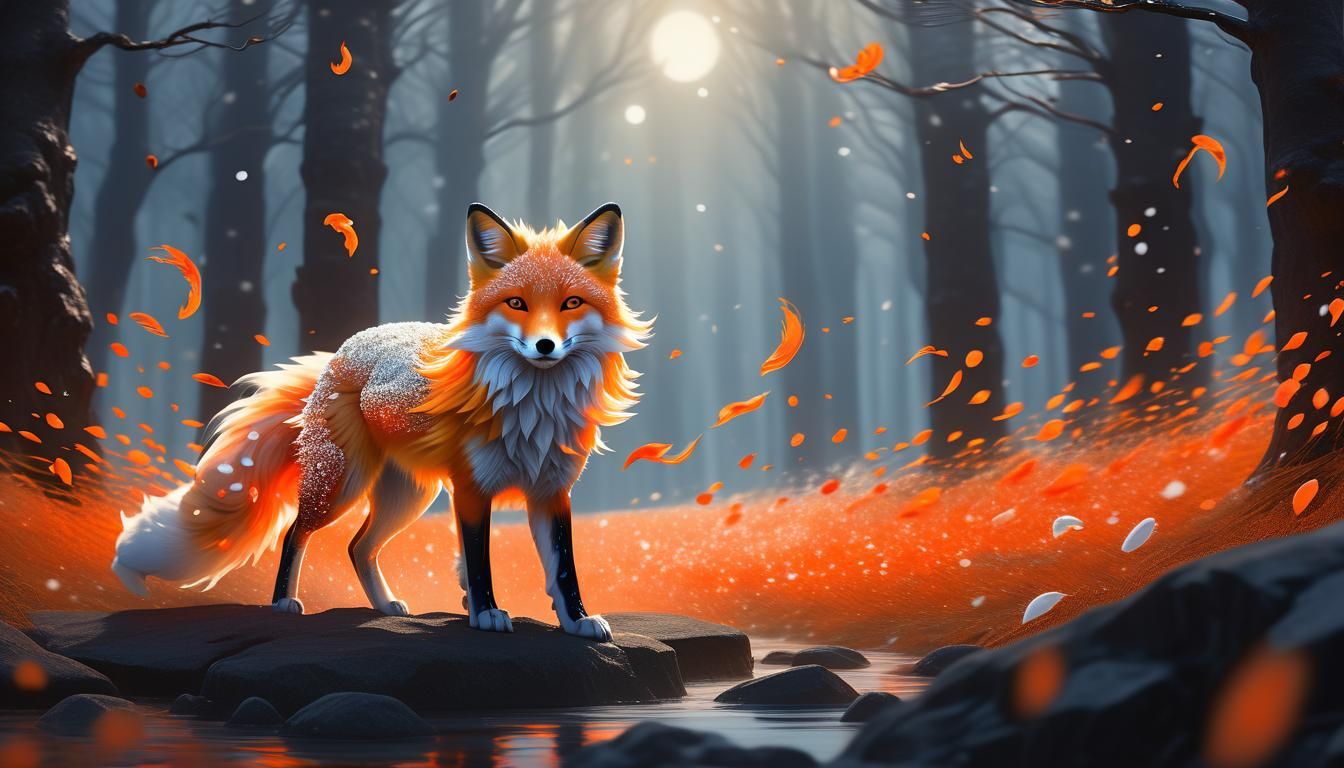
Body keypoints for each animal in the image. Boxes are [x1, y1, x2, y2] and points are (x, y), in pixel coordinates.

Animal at [111, 203, 650, 641]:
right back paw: (284, 603)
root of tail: (345, 347)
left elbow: (563, 568)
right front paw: (487, 614)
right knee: (296, 533)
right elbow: (479, 562)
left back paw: (385, 606)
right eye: (516, 303)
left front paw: (577, 621)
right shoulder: (472, 489)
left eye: (571, 303)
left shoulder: (552, 490)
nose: (544, 346)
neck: (533, 409)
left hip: (409, 496)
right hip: (343, 485)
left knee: (357, 547)